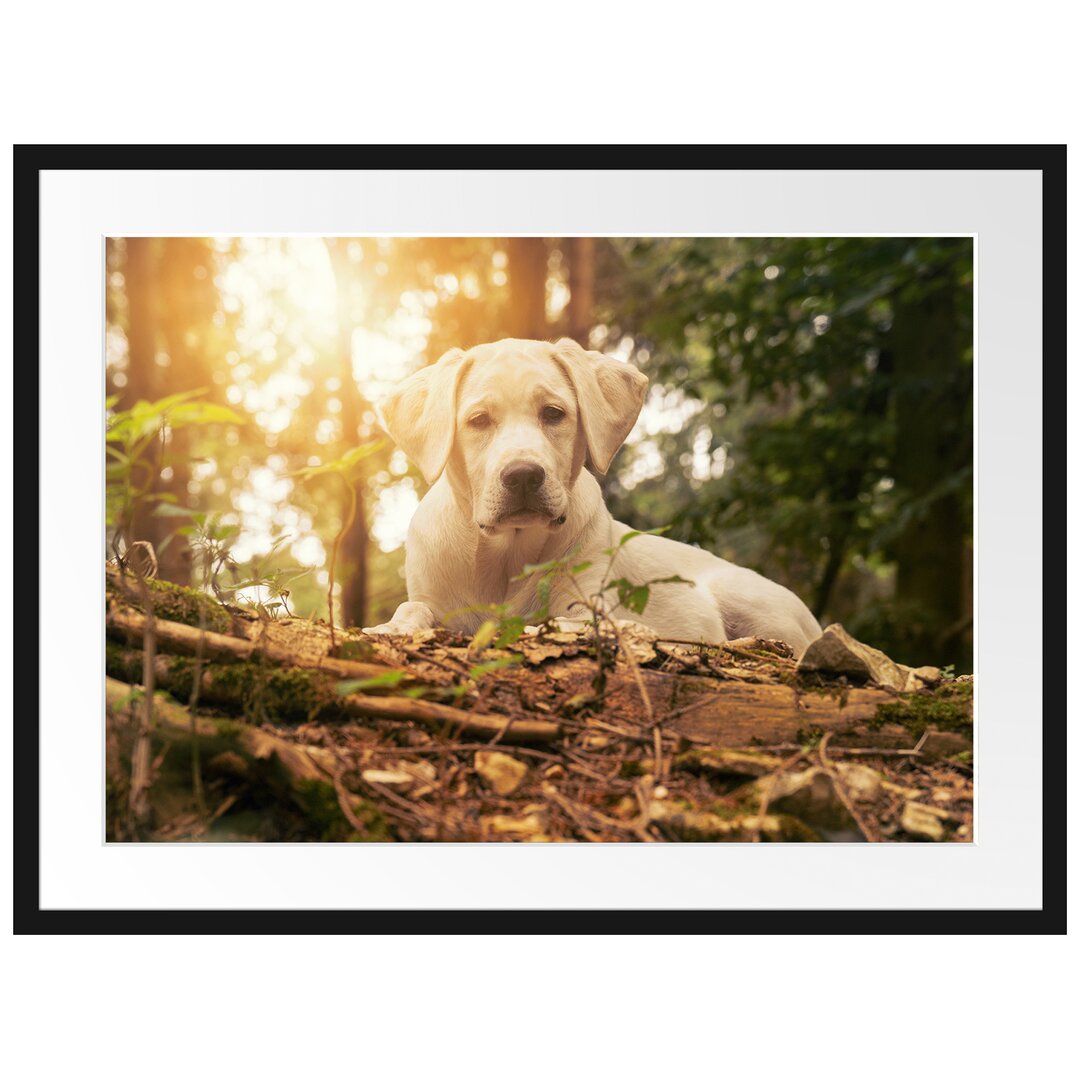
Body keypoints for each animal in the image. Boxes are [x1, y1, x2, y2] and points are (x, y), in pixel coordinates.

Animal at [362, 341, 816, 652]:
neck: (507, 555)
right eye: (478, 420)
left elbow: (562, 623)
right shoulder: (432, 597)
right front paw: (390, 627)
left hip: (748, 597)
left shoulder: (588, 605)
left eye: (553, 413)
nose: (523, 475)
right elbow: (412, 609)